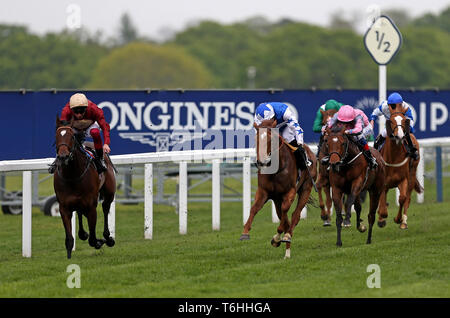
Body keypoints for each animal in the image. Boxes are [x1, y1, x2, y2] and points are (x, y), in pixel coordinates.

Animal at [53, 117, 117, 258]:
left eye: (72, 136)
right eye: (56, 136)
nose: (63, 156)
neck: (72, 174)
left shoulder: (91, 205)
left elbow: (93, 239)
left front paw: (100, 241)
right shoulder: (64, 207)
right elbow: (69, 238)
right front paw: (69, 256)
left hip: (109, 193)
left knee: (105, 207)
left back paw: (108, 237)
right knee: (80, 212)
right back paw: (83, 233)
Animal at [239, 118, 316, 260]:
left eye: (271, 139)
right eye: (256, 138)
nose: (262, 162)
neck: (276, 169)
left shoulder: (290, 192)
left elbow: (286, 215)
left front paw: (279, 236)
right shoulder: (264, 192)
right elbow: (254, 209)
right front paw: (245, 232)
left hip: (306, 188)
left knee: (295, 215)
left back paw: (287, 239)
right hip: (277, 199)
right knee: (285, 217)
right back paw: (286, 249)